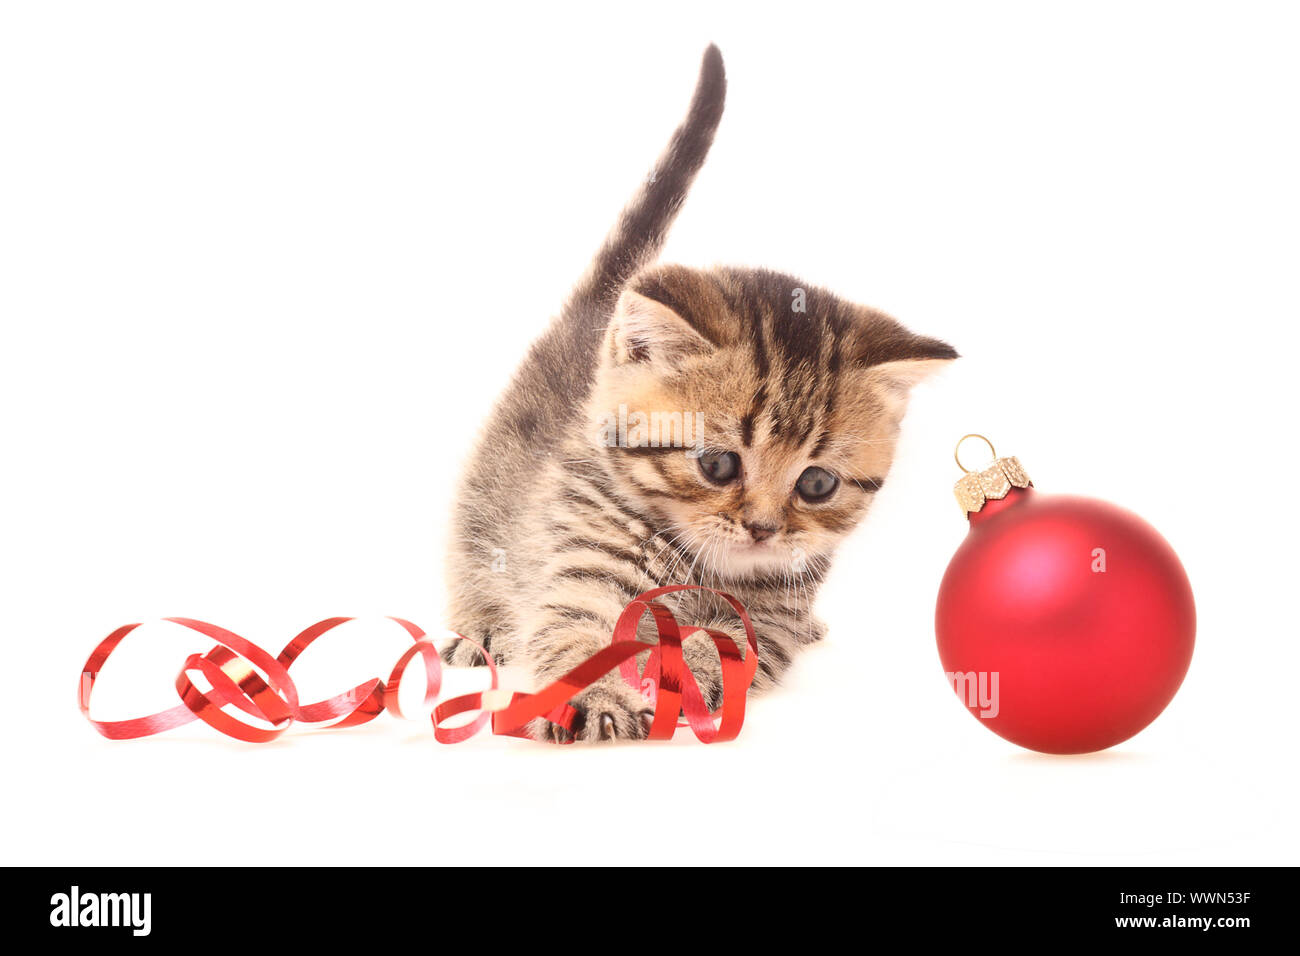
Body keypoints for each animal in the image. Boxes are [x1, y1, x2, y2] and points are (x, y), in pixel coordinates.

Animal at [447, 44, 956, 743]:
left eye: (817, 483)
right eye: (718, 465)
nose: (763, 529)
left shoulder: (773, 613)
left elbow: (730, 645)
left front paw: (683, 672)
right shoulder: (582, 558)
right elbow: (577, 631)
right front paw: (598, 699)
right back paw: (480, 624)